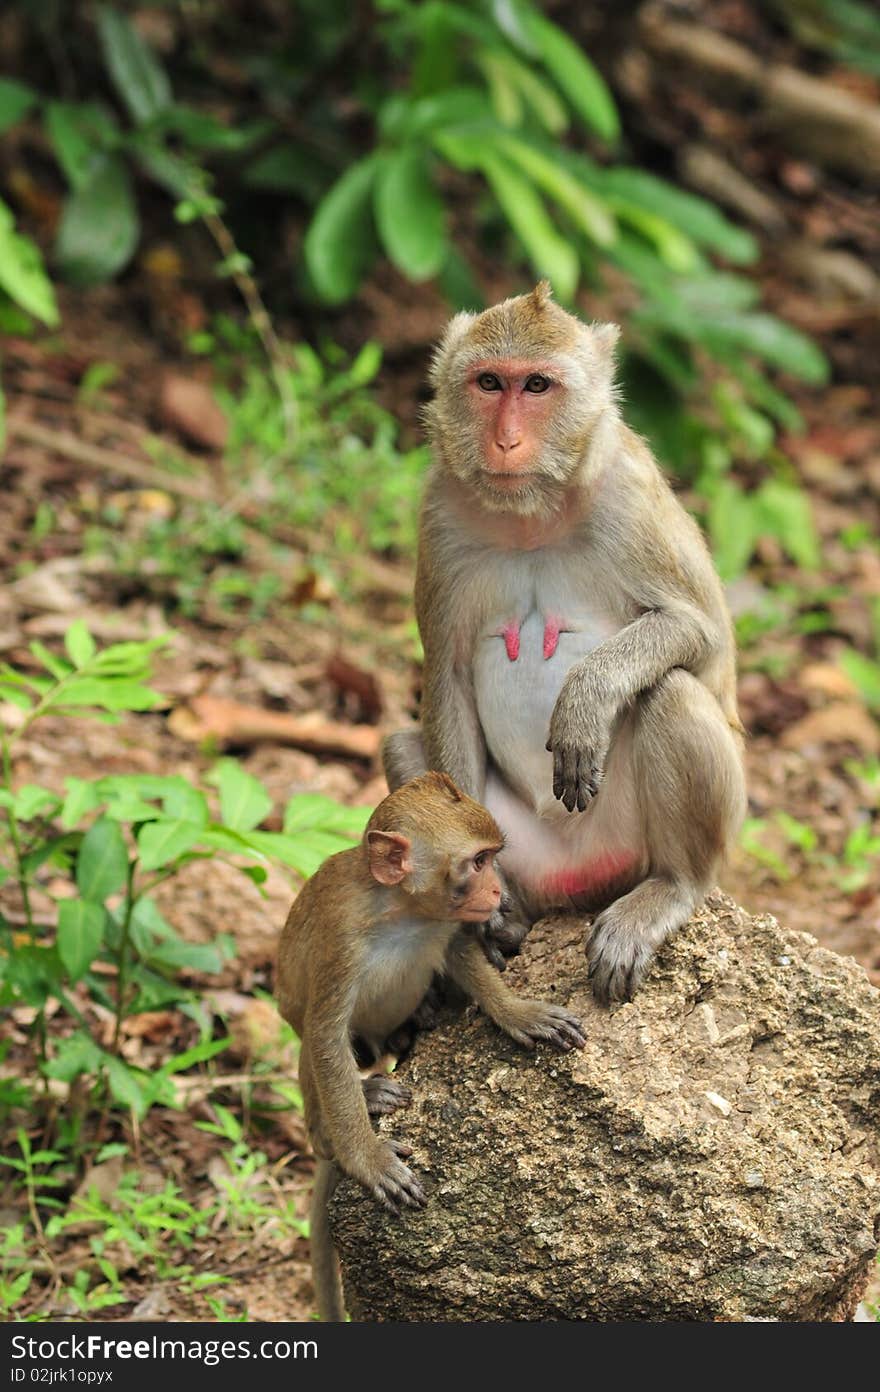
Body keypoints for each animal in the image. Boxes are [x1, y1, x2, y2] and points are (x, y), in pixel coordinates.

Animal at [275, 768, 587, 1319]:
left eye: (492, 857)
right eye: (478, 861)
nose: (497, 890)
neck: (403, 911)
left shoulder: (446, 922)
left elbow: (461, 953)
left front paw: (517, 1012)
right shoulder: (341, 938)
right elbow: (325, 1033)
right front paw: (366, 1157)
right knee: (313, 1039)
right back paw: (339, 1121)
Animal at [381, 282, 746, 1002]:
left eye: (538, 385)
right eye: (489, 383)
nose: (506, 439)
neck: (532, 516)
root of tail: (576, 881)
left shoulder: (630, 493)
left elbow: (704, 638)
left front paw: (585, 700)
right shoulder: (438, 513)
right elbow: (449, 675)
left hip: (629, 845)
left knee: (672, 690)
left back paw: (669, 888)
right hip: (525, 853)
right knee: (408, 747)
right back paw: (500, 923)